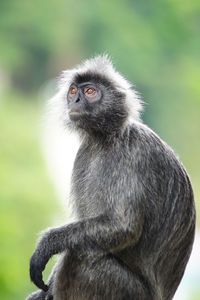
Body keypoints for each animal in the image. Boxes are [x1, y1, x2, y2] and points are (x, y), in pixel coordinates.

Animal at [26, 54, 195, 300]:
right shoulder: (85, 153)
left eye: (90, 92)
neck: (105, 138)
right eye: (73, 91)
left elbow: (124, 226)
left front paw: (47, 244)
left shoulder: (134, 154)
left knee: (79, 258)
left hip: (128, 291)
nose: (75, 101)